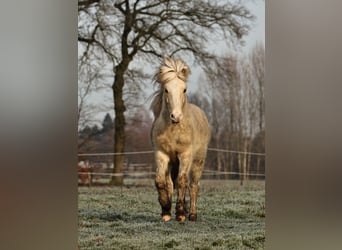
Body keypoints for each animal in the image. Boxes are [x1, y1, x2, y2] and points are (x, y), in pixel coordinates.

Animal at [150, 56, 210, 221]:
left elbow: (182, 181)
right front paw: (165, 209)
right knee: (170, 183)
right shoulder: (162, 154)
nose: (176, 116)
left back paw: (192, 215)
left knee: (194, 185)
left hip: (198, 162)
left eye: (184, 89)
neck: (174, 130)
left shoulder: (185, 155)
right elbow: (160, 181)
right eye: (166, 89)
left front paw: (181, 214)